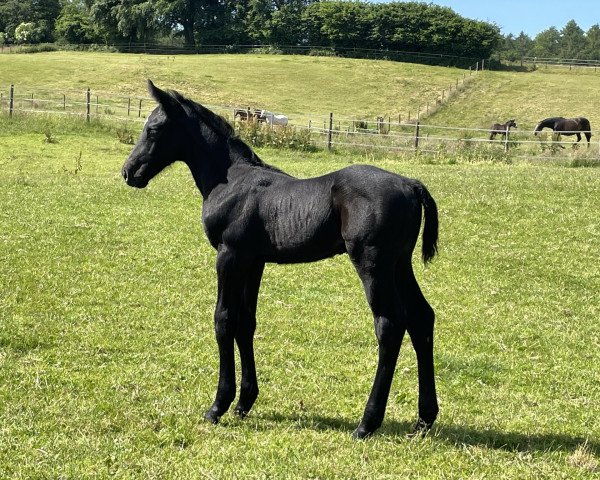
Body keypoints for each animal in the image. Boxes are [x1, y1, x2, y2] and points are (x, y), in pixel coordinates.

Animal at [122, 81, 440, 438]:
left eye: (154, 129)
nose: (128, 172)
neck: (231, 179)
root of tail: (411, 184)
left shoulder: (229, 256)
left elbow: (224, 320)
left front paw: (218, 405)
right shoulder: (253, 261)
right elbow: (246, 322)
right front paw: (244, 403)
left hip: (373, 266)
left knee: (390, 325)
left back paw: (367, 423)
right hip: (399, 265)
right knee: (421, 317)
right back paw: (424, 419)